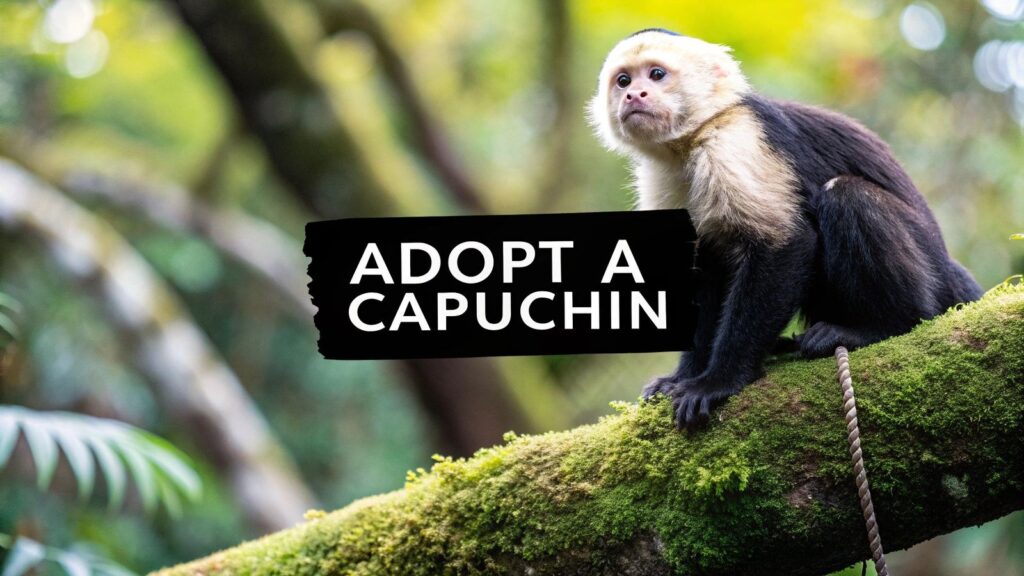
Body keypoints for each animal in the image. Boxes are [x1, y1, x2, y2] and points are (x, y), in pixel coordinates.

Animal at [589, 29, 983, 428]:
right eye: (623, 81)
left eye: (656, 74)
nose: (634, 95)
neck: (692, 139)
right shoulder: (663, 177)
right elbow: (705, 267)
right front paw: (683, 376)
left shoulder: (737, 139)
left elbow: (785, 243)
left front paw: (719, 381)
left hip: (931, 270)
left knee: (847, 197)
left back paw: (882, 326)